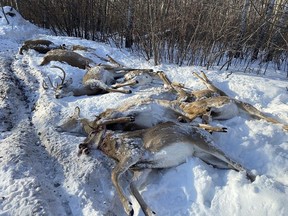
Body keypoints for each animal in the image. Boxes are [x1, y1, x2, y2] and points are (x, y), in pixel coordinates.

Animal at [79, 121, 256, 216]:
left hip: (206, 144)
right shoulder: (142, 169)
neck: (113, 147)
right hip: (207, 157)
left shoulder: (133, 151)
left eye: (92, 133)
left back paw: (254, 179)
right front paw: (149, 211)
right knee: (230, 165)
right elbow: (131, 185)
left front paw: (128, 207)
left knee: (236, 163)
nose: (81, 145)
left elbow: (113, 174)